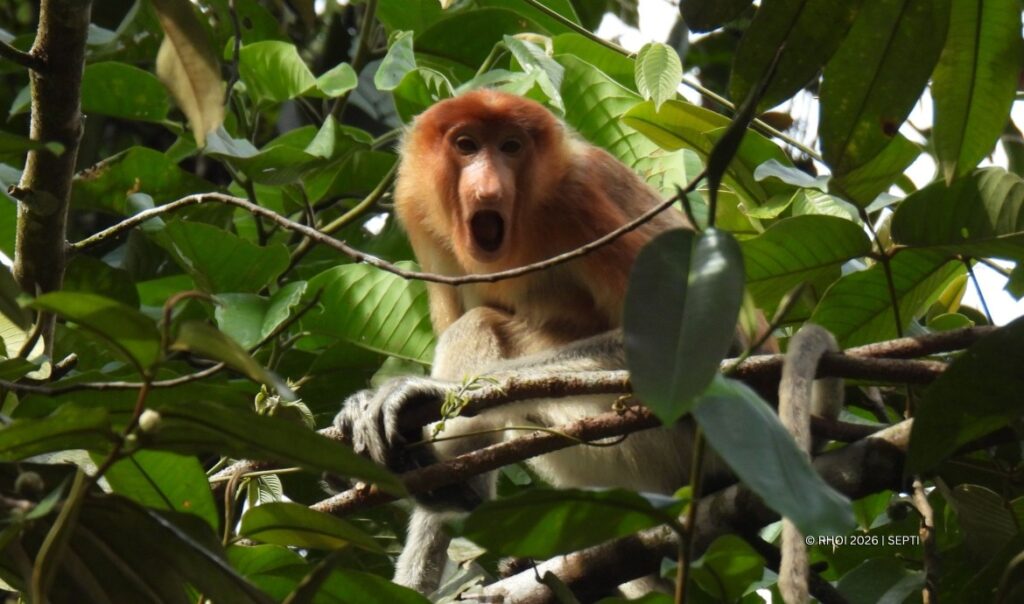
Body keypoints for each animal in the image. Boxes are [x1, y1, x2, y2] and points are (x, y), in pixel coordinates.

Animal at [332, 90, 844, 597]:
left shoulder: (578, 199)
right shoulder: (417, 211)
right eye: (466, 145)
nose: (489, 189)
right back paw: (445, 488)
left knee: (479, 323)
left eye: (511, 147)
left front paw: (423, 391)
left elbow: (700, 344)